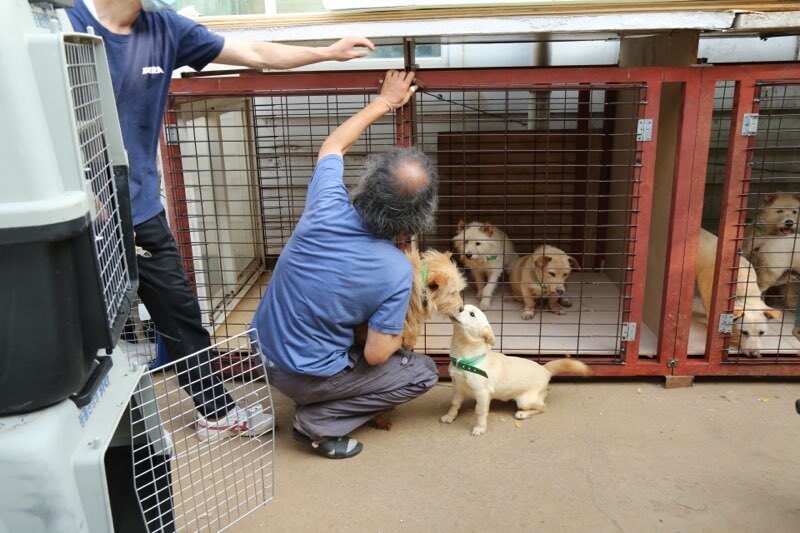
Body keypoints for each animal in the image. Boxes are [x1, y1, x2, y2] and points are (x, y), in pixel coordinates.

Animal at [440, 304, 592, 436]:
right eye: (463, 306)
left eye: (472, 314)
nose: (459, 307)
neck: (463, 357)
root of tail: (544, 369)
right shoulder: (457, 388)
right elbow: (454, 404)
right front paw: (449, 416)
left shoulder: (482, 393)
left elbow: (480, 412)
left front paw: (480, 428)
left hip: (525, 401)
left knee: (543, 407)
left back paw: (523, 414)